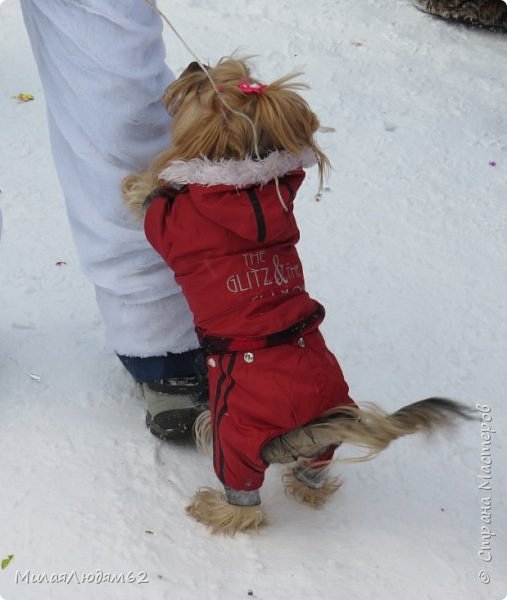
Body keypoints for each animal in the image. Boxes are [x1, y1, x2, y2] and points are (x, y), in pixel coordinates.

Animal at [122, 57, 472, 536]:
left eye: (203, 87)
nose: (194, 63)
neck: (246, 188)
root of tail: (303, 426)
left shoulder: (176, 226)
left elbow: (152, 205)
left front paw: (143, 182)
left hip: (232, 436)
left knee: (244, 502)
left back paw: (214, 507)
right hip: (323, 444)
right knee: (314, 475)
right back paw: (309, 489)